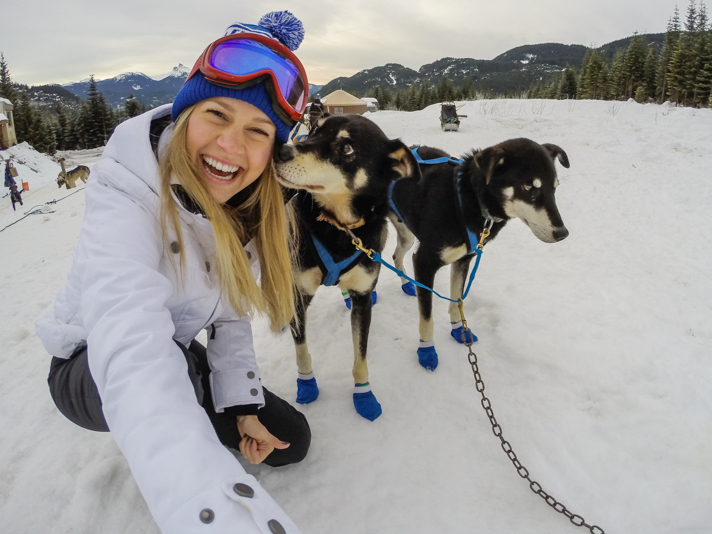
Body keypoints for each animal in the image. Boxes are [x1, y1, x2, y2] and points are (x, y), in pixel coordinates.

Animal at [272, 115, 418, 420]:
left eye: (347, 148)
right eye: (315, 131)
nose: (280, 150)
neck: (338, 228)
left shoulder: (363, 299)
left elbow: (360, 356)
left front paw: (363, 394)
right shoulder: (300, 295)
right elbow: (301, 350)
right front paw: (307, 384)